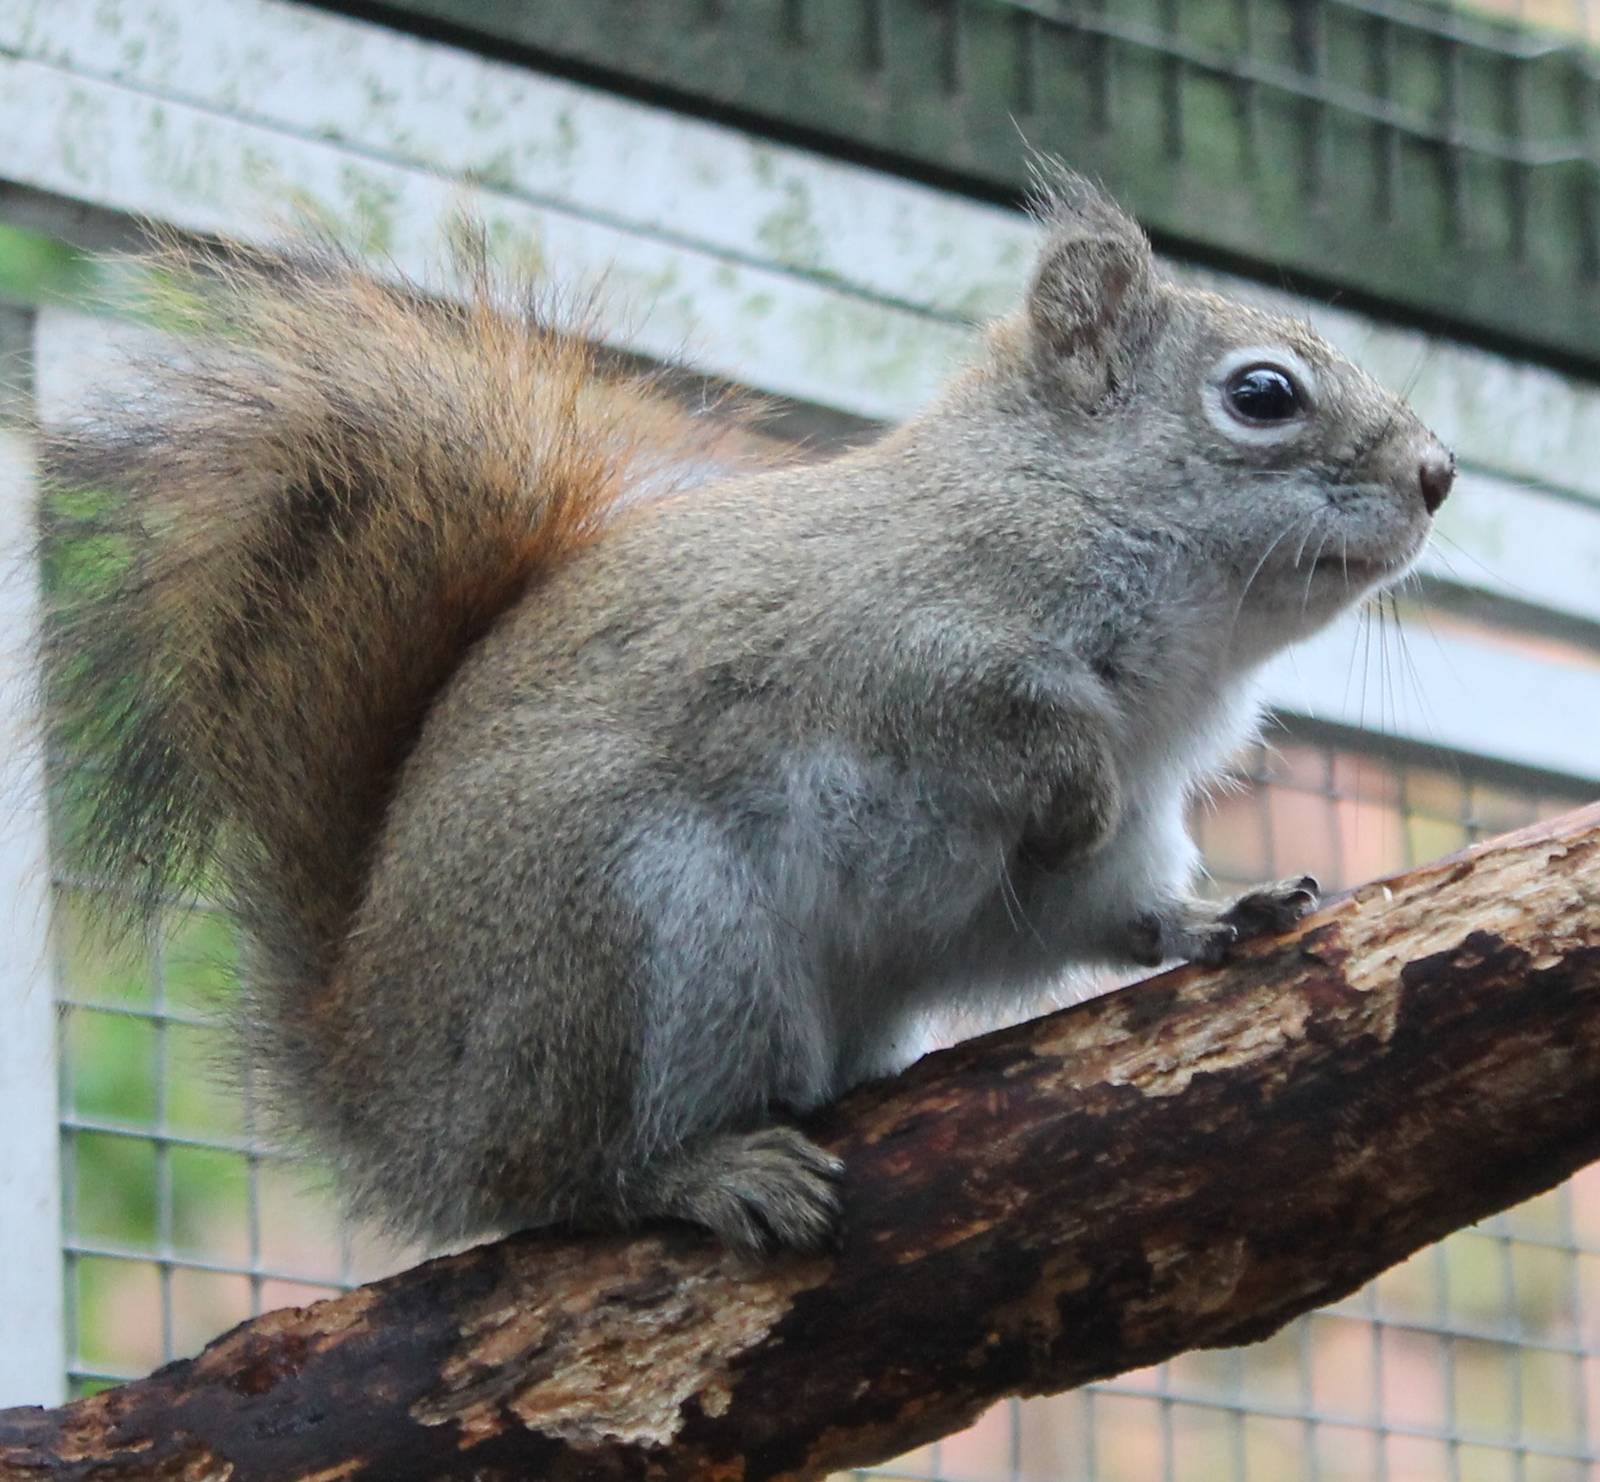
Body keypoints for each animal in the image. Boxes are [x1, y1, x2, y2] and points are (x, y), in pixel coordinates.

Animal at [40, 174, 1453, 1254]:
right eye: (1261, 395)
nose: (1439, 473)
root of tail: (393, 1103)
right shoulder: (900, 656)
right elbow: (1018, 745)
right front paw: (1070, 797)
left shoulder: (1141, 819)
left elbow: (1115, 903)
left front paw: (1223, 915)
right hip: (645, 938)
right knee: (568, 1181)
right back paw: (709, 1174)